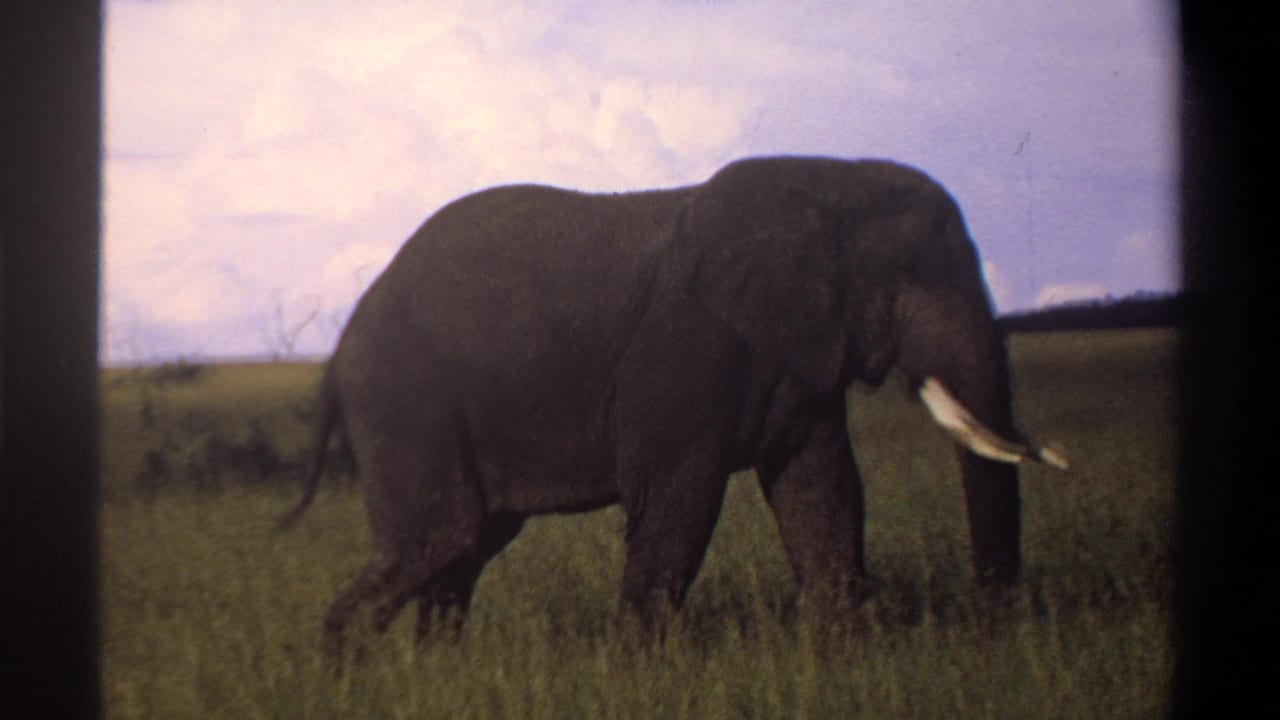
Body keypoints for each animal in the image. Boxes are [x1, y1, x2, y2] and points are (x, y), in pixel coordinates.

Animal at [279, 155, 1067, 653]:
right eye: (910, 275)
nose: (997, 628)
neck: (829, 181)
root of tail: (339, 352)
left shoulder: (799, 361)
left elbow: (823, 494)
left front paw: (850, 652)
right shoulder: (686, 349)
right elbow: (679, 501)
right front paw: (637, 669)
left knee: (466, 545)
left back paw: (437, 672)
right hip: (406, 399)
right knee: (439, 537)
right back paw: (346, 671)